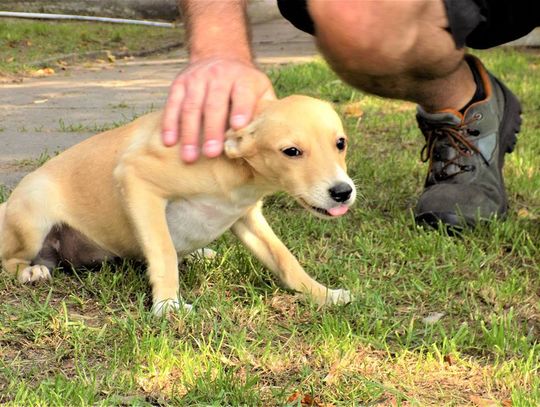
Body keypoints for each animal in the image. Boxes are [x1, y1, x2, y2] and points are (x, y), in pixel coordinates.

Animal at [0, 95, 356, 316]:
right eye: (291, 151)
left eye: (341, 143)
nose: (343, 192)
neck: (236, 170)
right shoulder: (137, 180)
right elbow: (164, 252)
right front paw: (168, 305)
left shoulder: (247, 218)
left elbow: (285, 260)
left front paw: (322, 294)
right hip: (33, 215)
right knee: (10, 260)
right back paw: (31, 271)